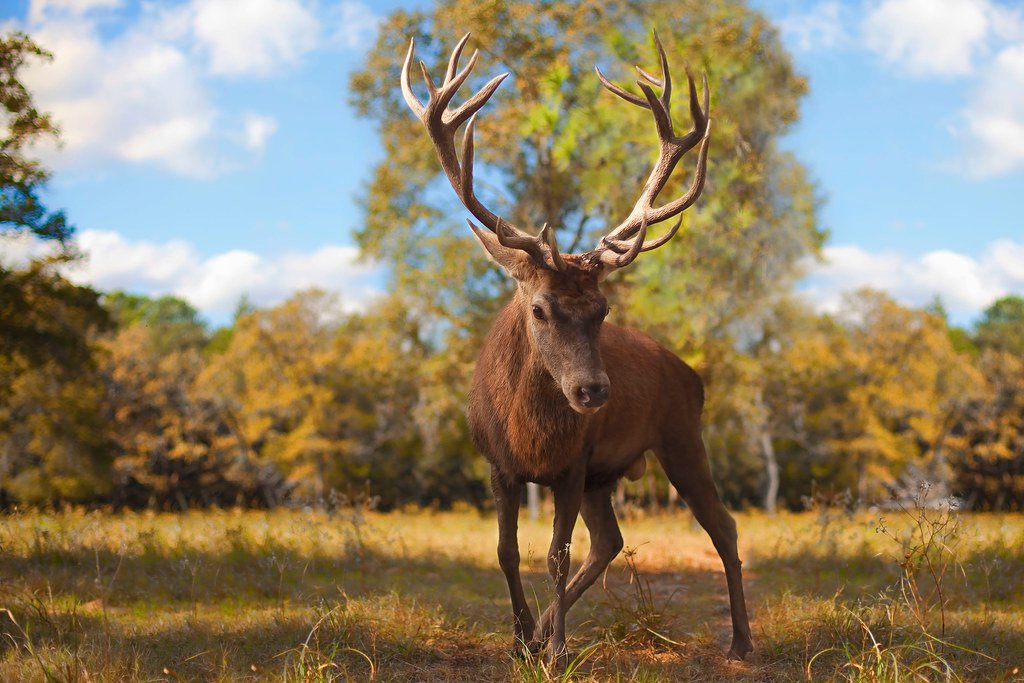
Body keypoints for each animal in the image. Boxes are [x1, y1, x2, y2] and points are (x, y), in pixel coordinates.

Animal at [400, 31, 753, 666]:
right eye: (540, 308)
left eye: (603, 310)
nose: (593, 391)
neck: (530, 438)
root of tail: (693, 375)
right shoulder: (499, 465)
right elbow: (507, 552)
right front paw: (521, 641)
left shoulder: (574, 464)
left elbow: (556, 556)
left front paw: (559, 651)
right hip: (607, 475)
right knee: (610, 541)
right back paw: (542, 631)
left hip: (680, 436)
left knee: (722, 526)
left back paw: (740, 641)